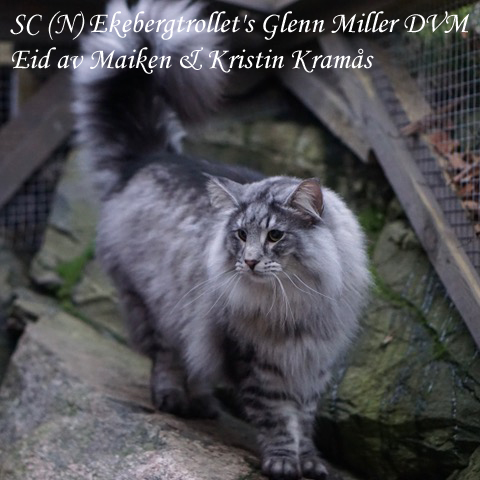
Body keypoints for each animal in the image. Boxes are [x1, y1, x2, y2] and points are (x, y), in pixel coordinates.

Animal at [74, 1, 371, 479]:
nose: (248, 261)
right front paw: (283, 461)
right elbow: (278, 418)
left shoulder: (312, 365)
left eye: (275, 236)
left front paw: (310, 461)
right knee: (167, 358)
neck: (296, 303)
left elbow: (305, 419)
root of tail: (151, 157)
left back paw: (202, 405)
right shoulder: (256, 362)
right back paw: (175, 400)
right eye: (240, 235)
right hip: (158, 306)